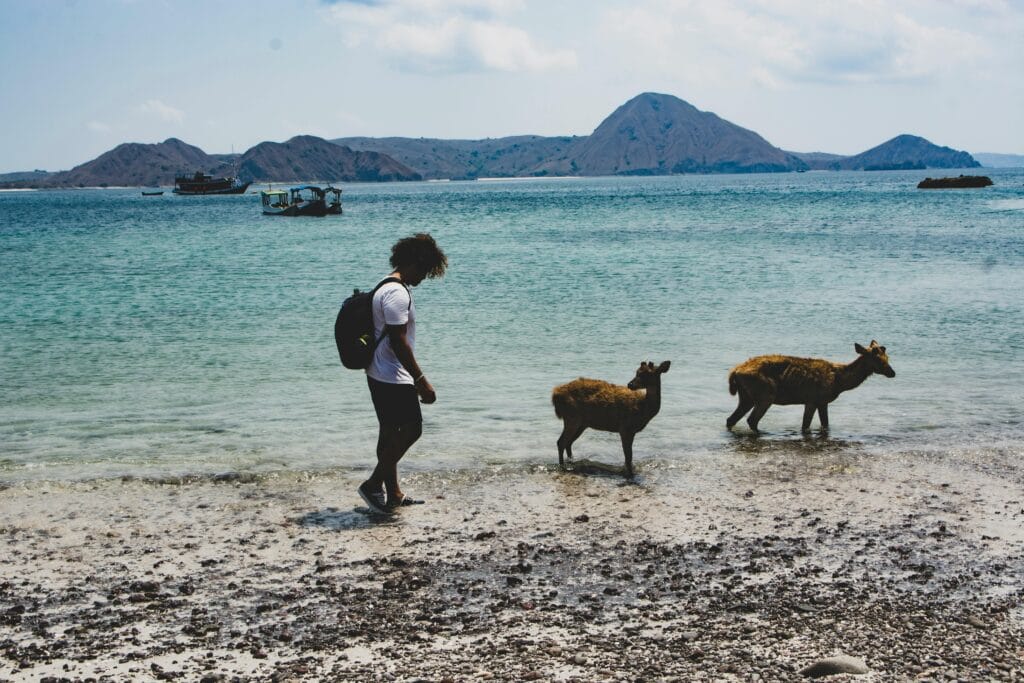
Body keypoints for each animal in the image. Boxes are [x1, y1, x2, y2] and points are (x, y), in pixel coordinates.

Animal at [726, 341, 895, 433]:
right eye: (878, 360)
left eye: (887, 357)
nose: (892, 373)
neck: (839, 382)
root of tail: (735, 371)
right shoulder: (812, 399)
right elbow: (805, 426)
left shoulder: (822, 402)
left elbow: (825, 424)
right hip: (765, 394)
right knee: (751, 420)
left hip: (746, 396)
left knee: (730, 419)